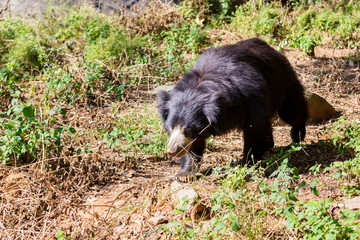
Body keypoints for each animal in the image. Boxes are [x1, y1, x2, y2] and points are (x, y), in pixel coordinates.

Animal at [156, 37, 308, 176]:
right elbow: (193, 145)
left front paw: (246, 163)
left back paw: (297, 135)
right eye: (170, 129)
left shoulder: (250, 97)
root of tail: (268, 46)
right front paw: (185, 173)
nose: (172, 151)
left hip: (281, 82)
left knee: (291, 110)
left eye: (188, 131)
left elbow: (254, 129)